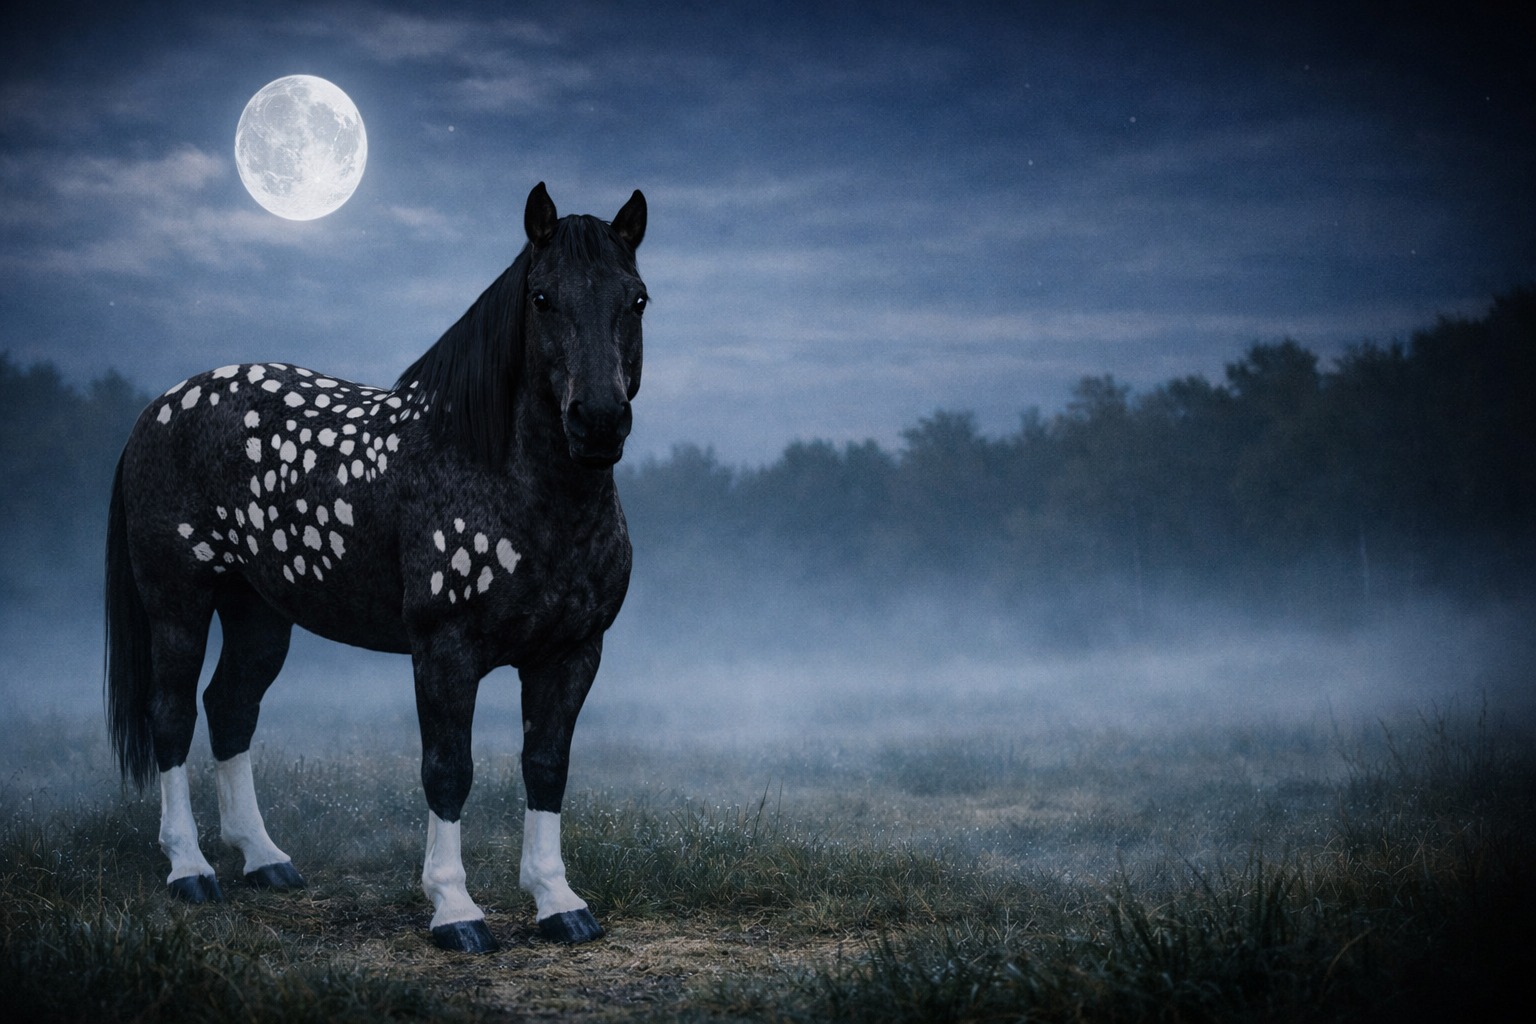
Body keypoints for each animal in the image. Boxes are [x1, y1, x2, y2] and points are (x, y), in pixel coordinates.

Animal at [105, 182, 647, 953]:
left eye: (637, 299)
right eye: (542, 297)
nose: (598, 421)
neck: (506, 480)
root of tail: (158, 408)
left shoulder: (572, 653)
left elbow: (546, 768)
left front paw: (557, 900)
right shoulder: (444, 648)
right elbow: (449, 771)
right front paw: (454, 908)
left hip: (257, 611)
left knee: (230, 708)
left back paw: (264, 858)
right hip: (177, 599)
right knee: (171, 715)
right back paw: (190, 868)